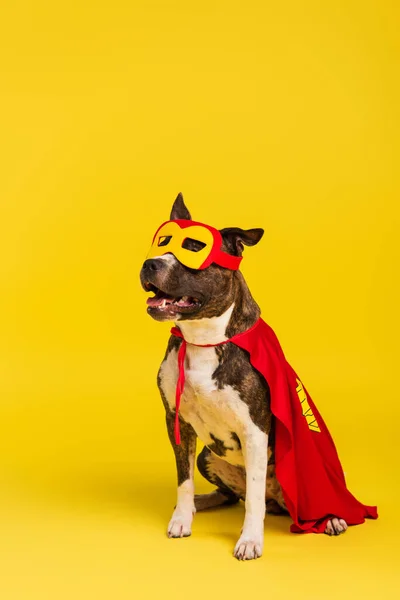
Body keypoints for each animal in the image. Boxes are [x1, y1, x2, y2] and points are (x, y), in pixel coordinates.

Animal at [140, 195, 346, 560]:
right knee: (229, 495)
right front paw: (182, 517)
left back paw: (332, 518)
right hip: (208, 456)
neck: (204, 339)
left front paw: (250, 540)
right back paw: (200, 503)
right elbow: (184, 479)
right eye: (162, 243)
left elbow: (252, 498)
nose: (150, 264)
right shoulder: (177, 420)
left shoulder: (254, 430)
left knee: (265, 498)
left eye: (193, 247)